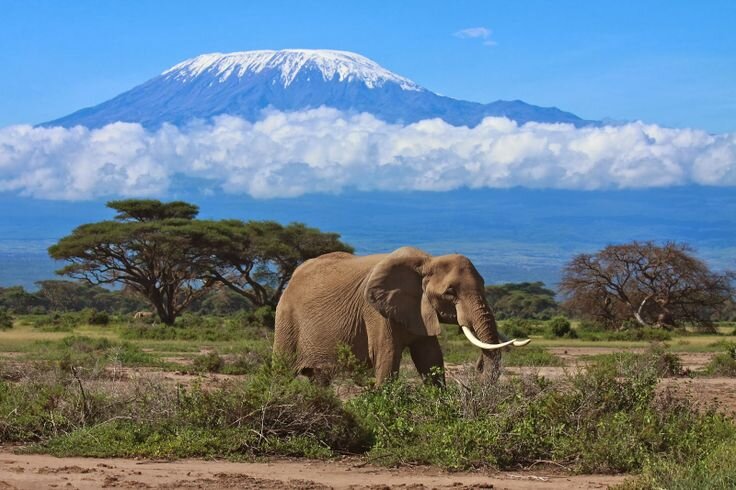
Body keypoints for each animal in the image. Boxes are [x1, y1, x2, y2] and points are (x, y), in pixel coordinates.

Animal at [273, 246, 530, 385]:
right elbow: (387, 358)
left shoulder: (420, 310)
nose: (477, 366)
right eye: (450, 292)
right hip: (286, 318)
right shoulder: (375, 312)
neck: (427, 262)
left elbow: (431, 359)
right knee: (281, 371)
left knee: (320, 379)